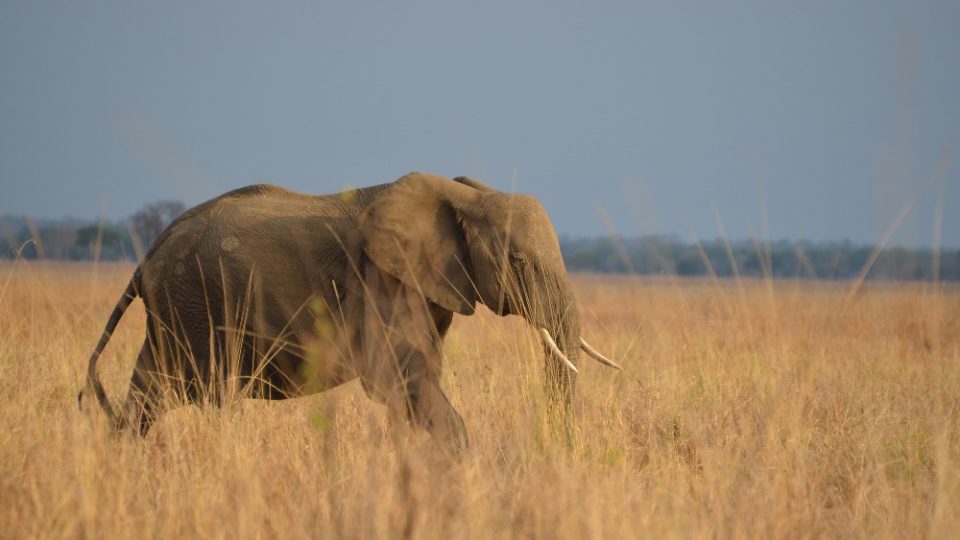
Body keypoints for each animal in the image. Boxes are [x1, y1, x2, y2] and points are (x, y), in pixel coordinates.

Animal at [79, 172, 620, 452]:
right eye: (518, 261)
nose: (554, 450)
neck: (465, 195)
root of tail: (149, 253)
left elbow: (415, 379)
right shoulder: (380, 279)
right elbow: (397, 377)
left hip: (177, 309)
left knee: (150, 391)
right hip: (193, 305)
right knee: (192, 391)